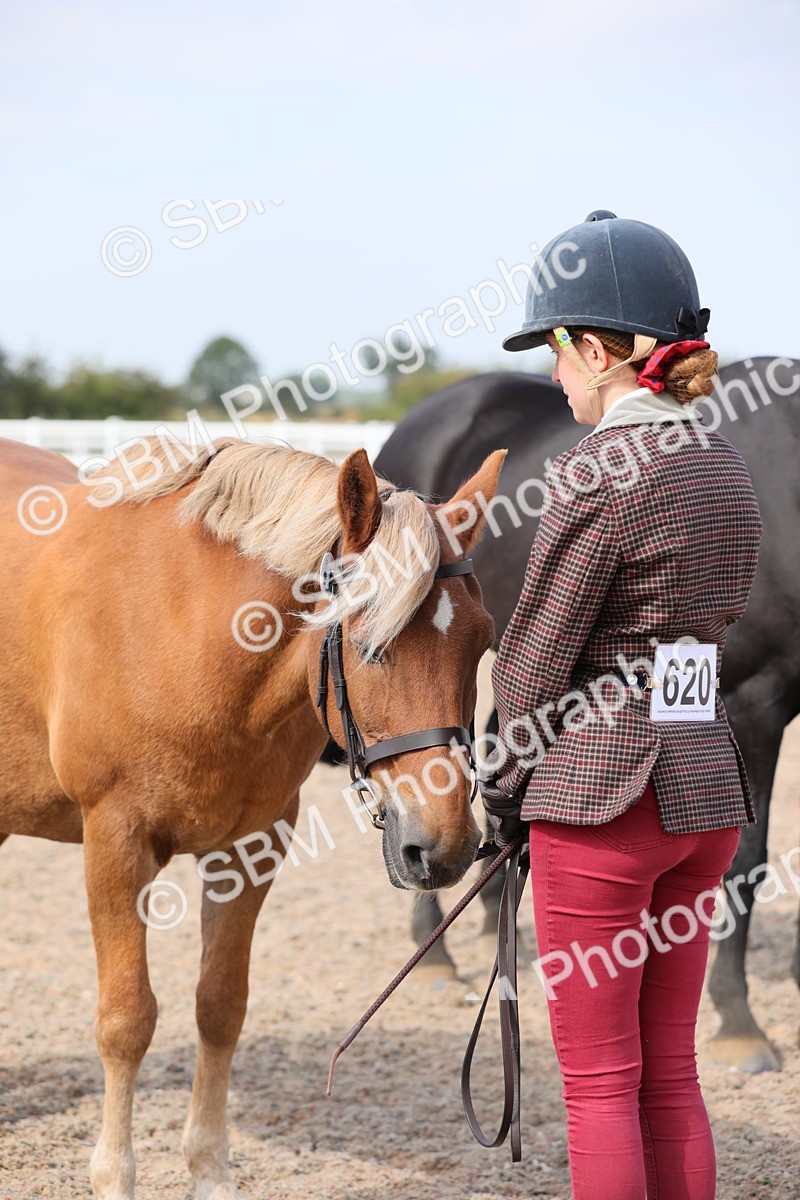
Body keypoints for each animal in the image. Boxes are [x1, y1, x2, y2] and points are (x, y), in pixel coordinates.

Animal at [0, 434, 505, 1200]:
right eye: (368, 645)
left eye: (480, 641)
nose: (443, 847)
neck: (186, 628)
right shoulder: (115, 842)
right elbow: (126, 1020)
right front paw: (114, 1176)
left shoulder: (251, 847)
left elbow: (220, 1006)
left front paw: (209, 1171)